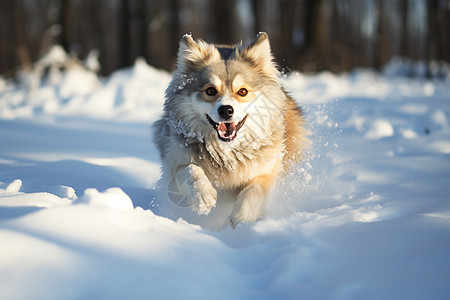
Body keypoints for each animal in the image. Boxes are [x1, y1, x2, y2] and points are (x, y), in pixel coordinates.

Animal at [153, 32, 308, 227]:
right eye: (210, 91)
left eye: (242, 91)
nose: (226, 110)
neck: (227, 153)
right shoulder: (173, 178)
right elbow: (190, 169)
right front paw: (203, 194)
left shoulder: (268, 171)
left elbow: (256, 187)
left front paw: (243, 218)